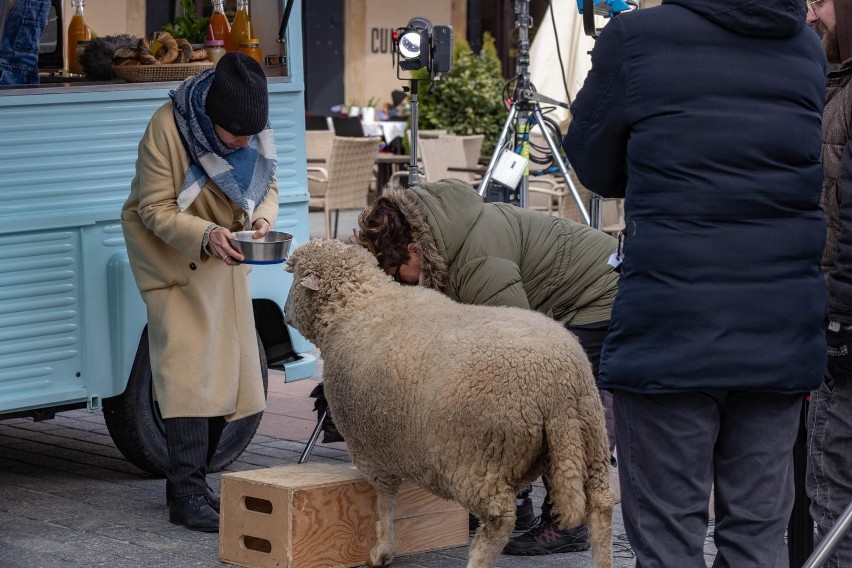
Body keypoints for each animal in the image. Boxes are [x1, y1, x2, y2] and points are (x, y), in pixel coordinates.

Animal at [284, 240, 612, 568]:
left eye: (295, 277)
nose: (286, 313)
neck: (357, 305)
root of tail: (557, 384)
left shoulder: (369, 446)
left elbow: (385, 500)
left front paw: (382, 550)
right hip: (591, 436)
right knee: (602, 508)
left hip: (480, 457)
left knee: (499, 520)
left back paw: (477, 559)